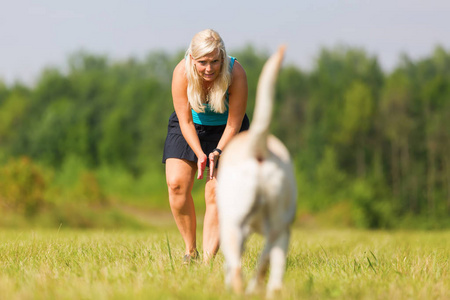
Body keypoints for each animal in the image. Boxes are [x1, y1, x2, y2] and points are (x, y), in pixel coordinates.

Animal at [216, 45, 298, 298]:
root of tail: (258, 146)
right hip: (281, 229)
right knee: (270, 268)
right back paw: (263, 289)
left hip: (232, 225)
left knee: (237, 269)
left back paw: (236, 291)